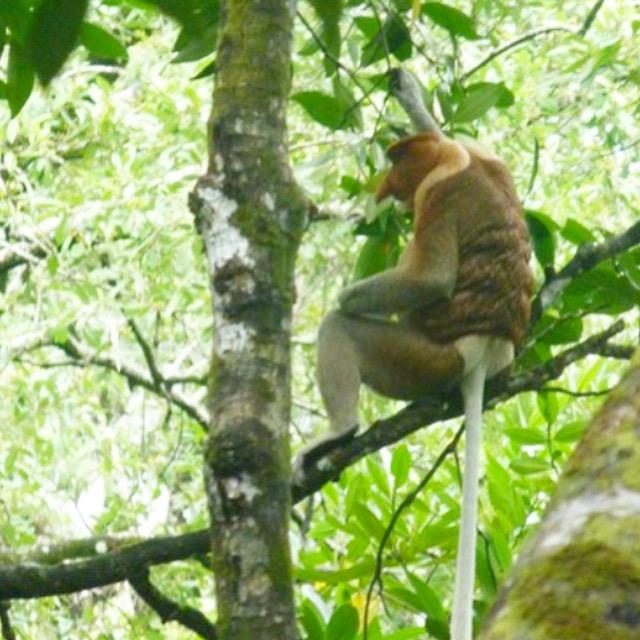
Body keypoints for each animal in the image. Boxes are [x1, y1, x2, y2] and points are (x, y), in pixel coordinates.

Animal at [298, 127, 532, 636]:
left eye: (397, 162)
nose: (385, 189)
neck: (455, 155)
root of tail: (485, 351)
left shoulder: (439, 190)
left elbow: (432, 280)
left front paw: (347, 296)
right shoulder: (479, 150)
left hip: (425, 360)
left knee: (341, 330)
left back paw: (340, 431)